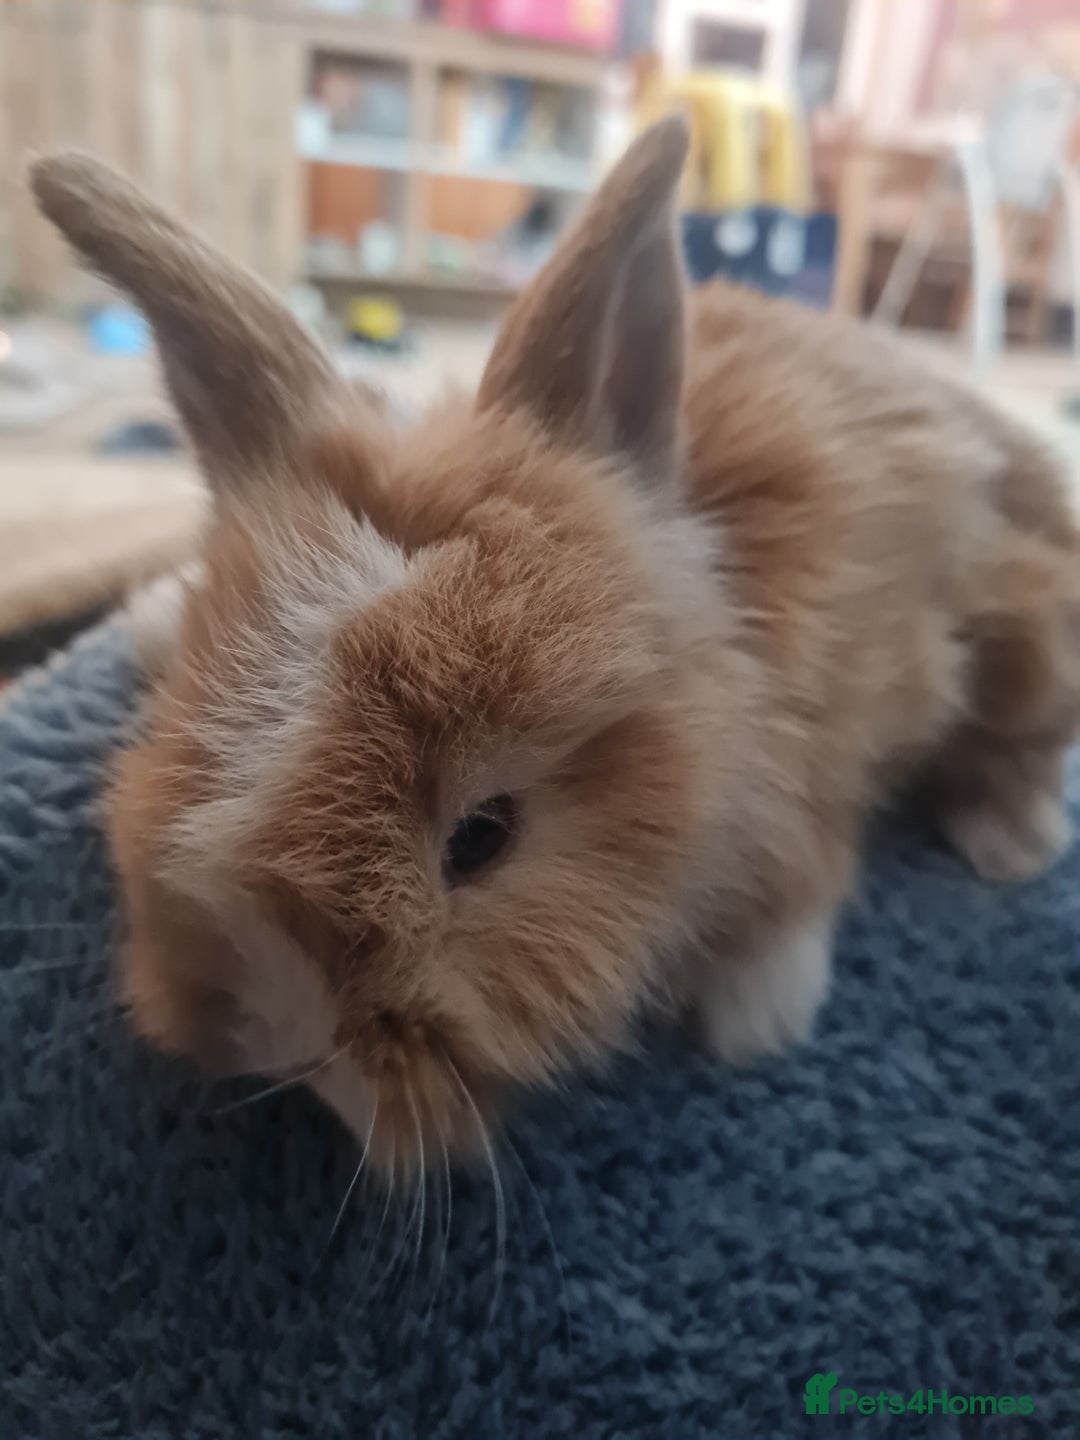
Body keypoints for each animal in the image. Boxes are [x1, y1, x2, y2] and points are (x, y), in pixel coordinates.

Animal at [30, 117, 1080, 1175]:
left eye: (481, 837)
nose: (293, 1047)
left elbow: (801, 880)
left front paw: (756, 1020)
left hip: (1027, 634)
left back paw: (1014, 844)